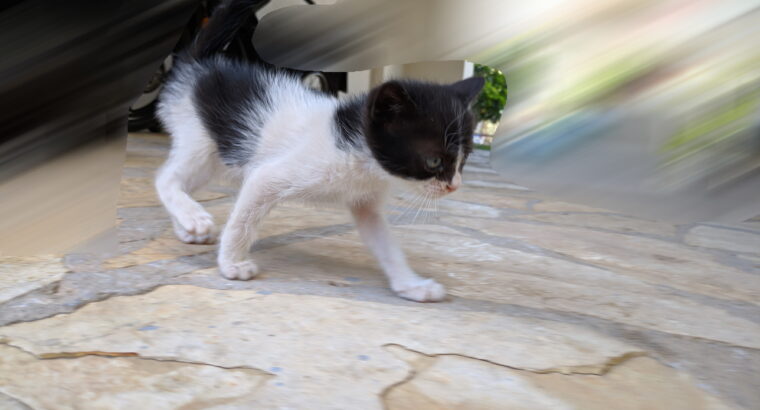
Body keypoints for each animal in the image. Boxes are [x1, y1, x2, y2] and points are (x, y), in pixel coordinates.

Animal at [157, 0, 484, 302]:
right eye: (434, 160)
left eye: (463, 160)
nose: (455, 186)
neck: (361, 157)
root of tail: (199, 65)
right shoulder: (268, 176)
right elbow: (243, 221)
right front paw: (232, 263)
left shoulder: (366, 204)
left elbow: (387, 244)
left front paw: (411, 284)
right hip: (199, 138)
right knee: (165, 179)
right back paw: (192, 217)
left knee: (182, 180)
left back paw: (186, 228)